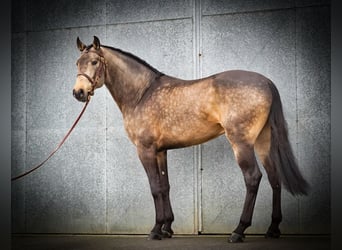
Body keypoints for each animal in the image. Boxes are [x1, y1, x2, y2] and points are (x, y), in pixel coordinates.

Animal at [73, 36, 310, 243]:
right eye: (77, 63)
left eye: (94, 62)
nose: (79, 93)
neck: (142, 94)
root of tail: (267, 82)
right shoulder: (161, 151)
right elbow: (165, 186)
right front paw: (167, 228)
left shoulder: (145, 150)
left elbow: (154, 187)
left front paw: (155, 230)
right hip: (263, 142)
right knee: (274, 178)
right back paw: (272, 229)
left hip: (241, 144)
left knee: (253, 178)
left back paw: (238, 231)